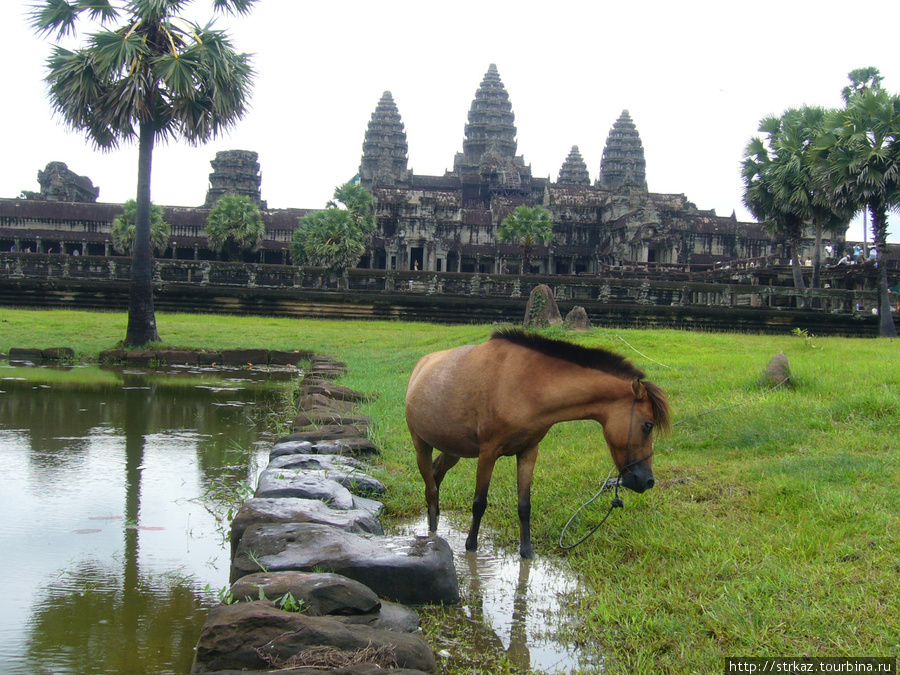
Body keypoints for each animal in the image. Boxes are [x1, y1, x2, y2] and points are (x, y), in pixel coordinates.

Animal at [406, 328, 668, 560]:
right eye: (648, 425)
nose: (647, 480)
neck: (527, 384)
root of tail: (420, 366)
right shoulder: (488, 452)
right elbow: (479, 503)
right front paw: (471, 546)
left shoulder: (528, 452)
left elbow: (524, 505)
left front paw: (527, 552)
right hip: (421, 445)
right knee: (430, 488)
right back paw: (432, 530)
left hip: (453, 450)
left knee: (436, 475)